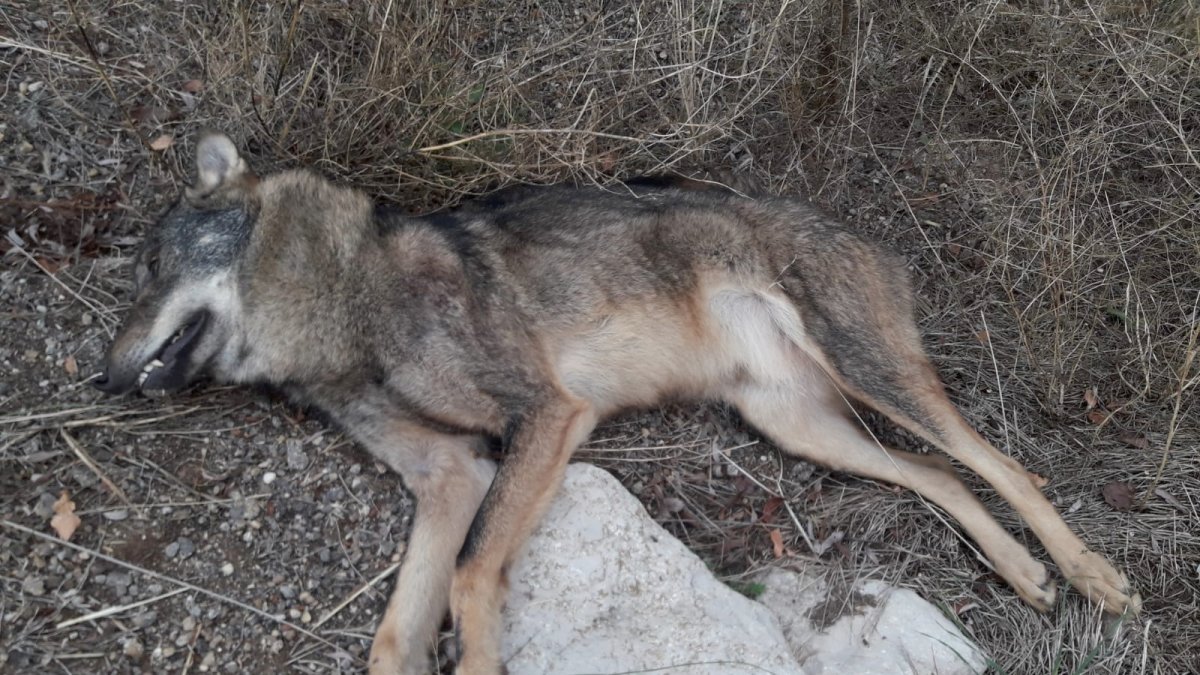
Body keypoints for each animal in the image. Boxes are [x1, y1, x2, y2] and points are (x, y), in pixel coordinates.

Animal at [94, 132, 1140, 675]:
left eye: (148, 268)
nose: (102, 376)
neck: (350, 304)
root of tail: (862, 231)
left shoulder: (548, 418)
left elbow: (472, 577)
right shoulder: (448, 473)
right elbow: (396, 633)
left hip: (871, 378)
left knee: (1003, 462)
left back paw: (1092, 576)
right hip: (803, 426)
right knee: (934, 473)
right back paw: (1024, 575)